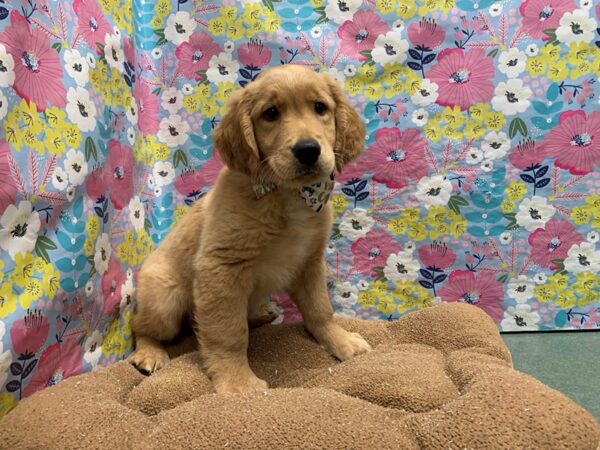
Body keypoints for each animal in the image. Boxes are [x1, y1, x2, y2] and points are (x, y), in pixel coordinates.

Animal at [127, 63, 370, 394]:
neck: (286, 195)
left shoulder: (308, 263)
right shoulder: (221, 268)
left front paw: (340, 340)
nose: (308, 150)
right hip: (164, 301)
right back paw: (149, 352)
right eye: (271, 113)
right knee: (142, 327)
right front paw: (238, 381)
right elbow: (228, 332)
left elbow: (320, 309)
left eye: (320, 107)